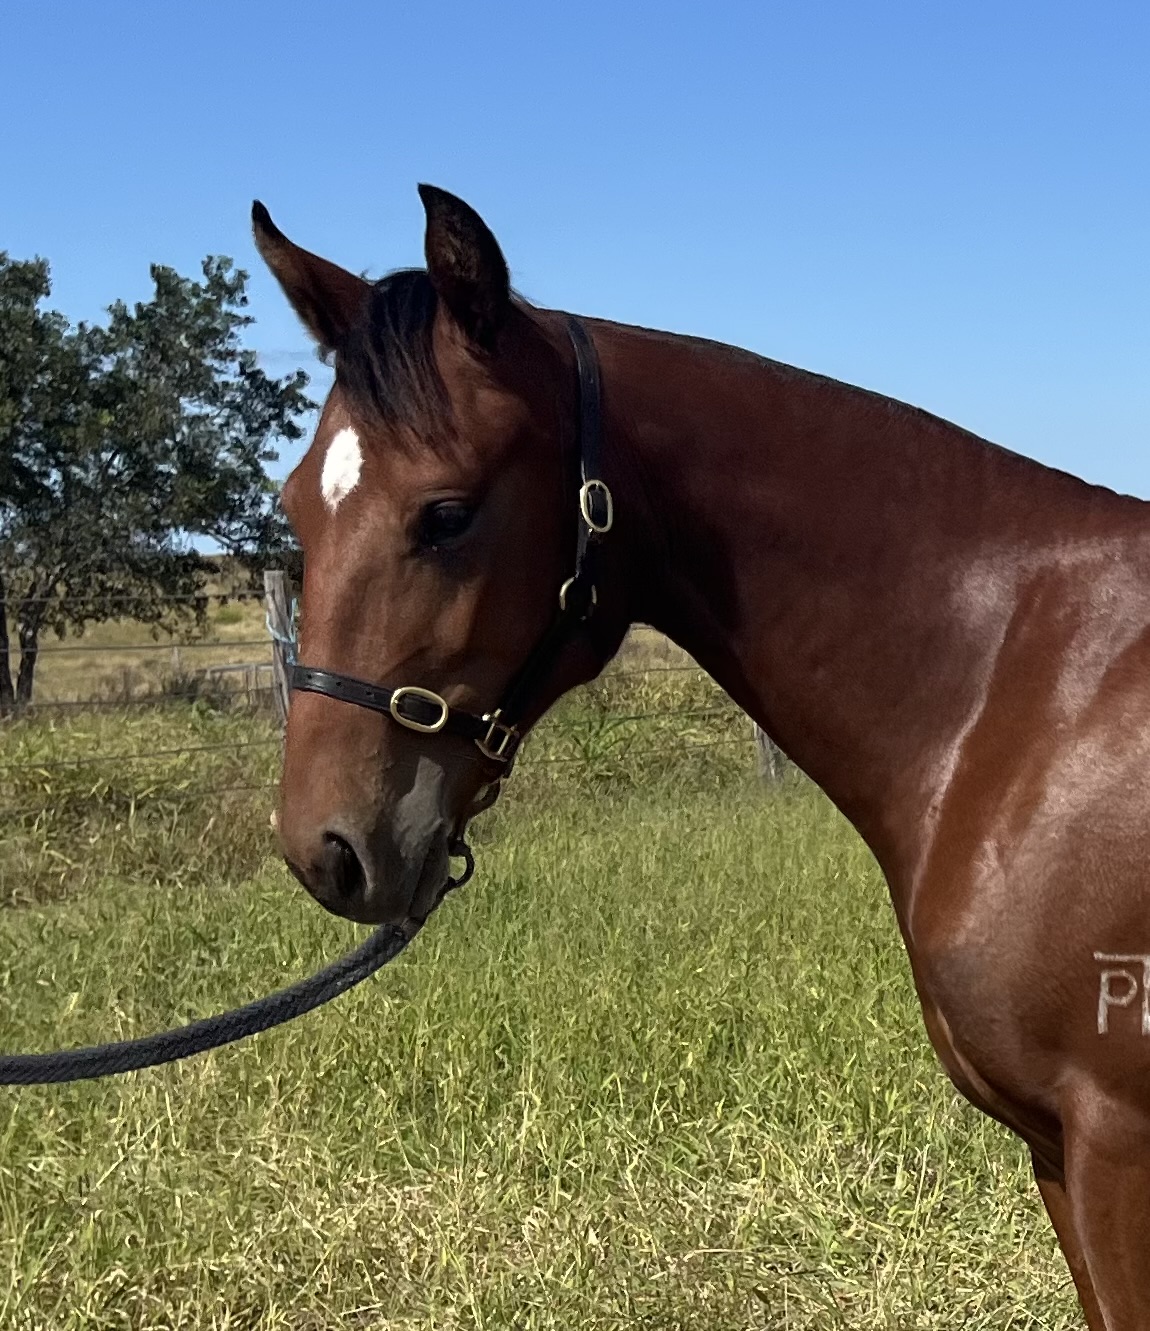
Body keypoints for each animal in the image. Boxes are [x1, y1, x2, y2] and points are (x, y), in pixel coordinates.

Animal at [255, 184, 1150, 1329]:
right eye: (294, 504)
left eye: (446, 512)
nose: (327, 848)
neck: (1023, 689)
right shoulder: (1055, 1156)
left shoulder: (1115, 1149)